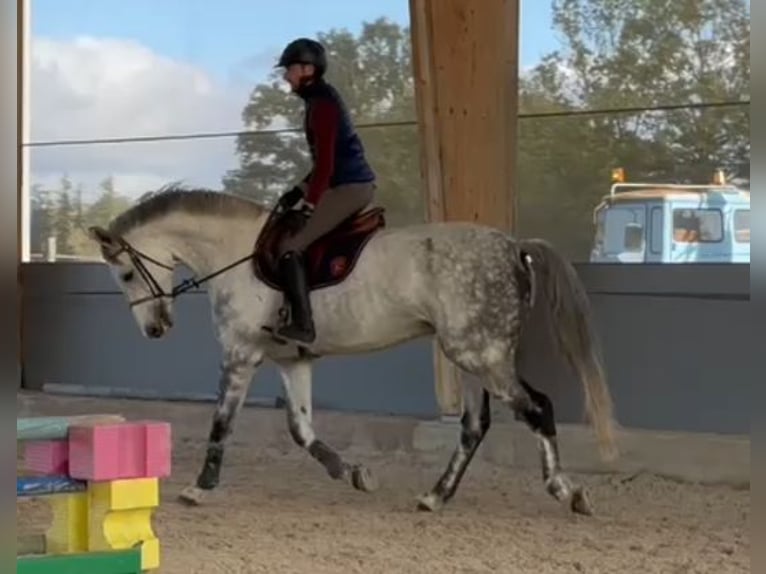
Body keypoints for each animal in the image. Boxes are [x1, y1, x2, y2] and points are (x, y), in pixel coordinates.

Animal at [87, 184, 618, 515]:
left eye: (127, 274)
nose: (155, 329)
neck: (236, 254)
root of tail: (511, 246)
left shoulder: (241, 356)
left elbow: (222, 424)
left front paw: (198, 489)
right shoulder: (291, 360)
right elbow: (301, 430)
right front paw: (354, 473)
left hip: (482, 356)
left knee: (538, 409)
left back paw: (567, 491)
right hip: (470, 356)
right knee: (474, 426)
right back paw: (434, 497)